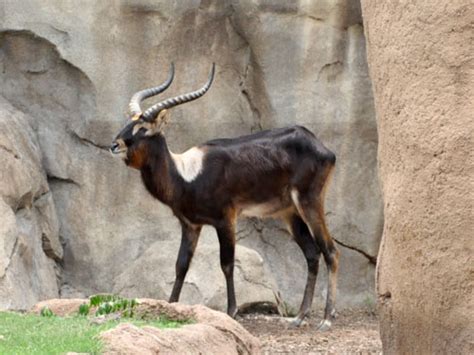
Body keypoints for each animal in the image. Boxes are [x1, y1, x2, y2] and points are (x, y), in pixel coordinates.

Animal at [110, 64, 340, 330]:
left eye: (143, 129)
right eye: (128, 123)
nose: (114, 145)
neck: (186, 173)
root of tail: (321, 146)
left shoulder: (226, 219)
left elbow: (227, 263)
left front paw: (231, 311)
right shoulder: (191, 225)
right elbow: (181, 265)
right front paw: (171, 305)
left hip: (309, 203)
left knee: (330, 251)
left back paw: (326, 319)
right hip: (290, 214)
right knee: (312, 254)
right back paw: (300, 316)